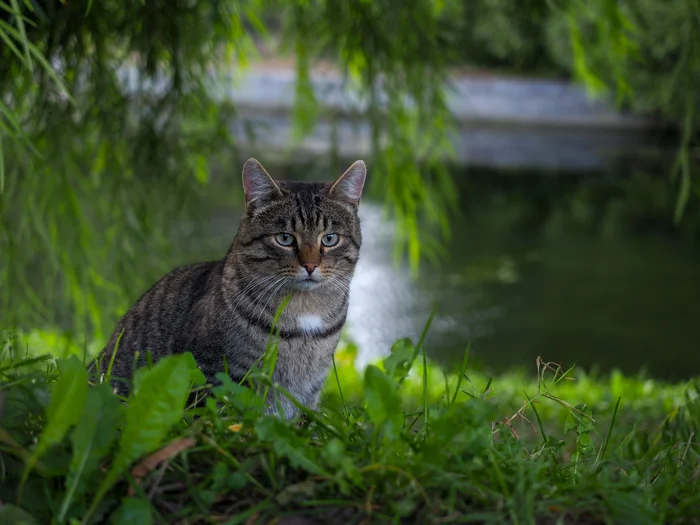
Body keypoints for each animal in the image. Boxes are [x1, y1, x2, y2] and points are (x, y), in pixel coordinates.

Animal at [100, 159, 370, 418]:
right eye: (284, 238)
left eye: (330, 239)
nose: (311, 265)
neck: (305, 312)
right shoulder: (216, 375)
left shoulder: (308, 392)